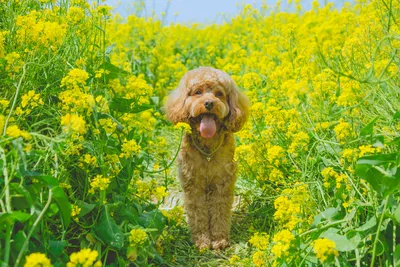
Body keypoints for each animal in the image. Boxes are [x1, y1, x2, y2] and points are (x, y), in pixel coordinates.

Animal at [164, 67, 248, 251]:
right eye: (198, 92)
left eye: (219, 94)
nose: (209, 103)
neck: (208, 149)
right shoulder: (193, 184)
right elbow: (198, 214)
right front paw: (202, 242)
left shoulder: (222, 183)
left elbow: (220, 211)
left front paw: (219, 239)